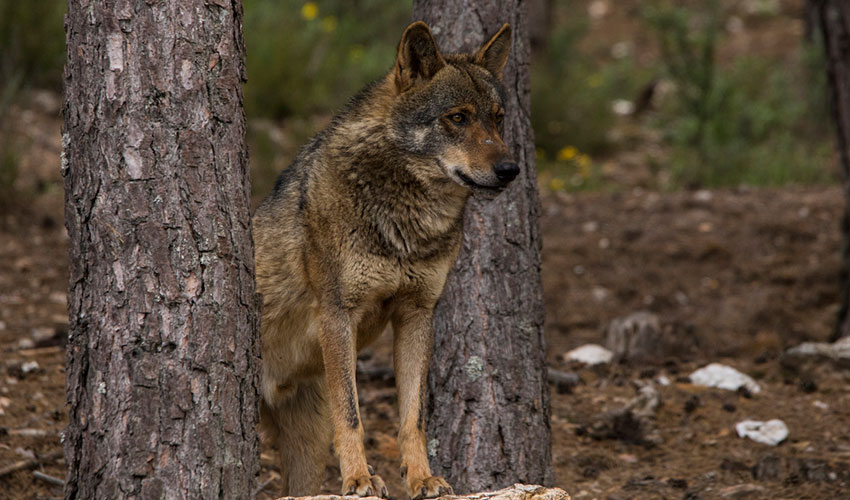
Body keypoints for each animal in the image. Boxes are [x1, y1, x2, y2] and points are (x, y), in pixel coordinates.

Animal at [252, 20, 516, 500]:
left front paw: (423, 478)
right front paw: (359, 479)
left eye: (498, 117)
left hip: (306, 451)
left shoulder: (417, 314)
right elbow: (353, 415)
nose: (511, 170)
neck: (408, 221)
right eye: (458, 117)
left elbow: (413, 418)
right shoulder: (338, 315)